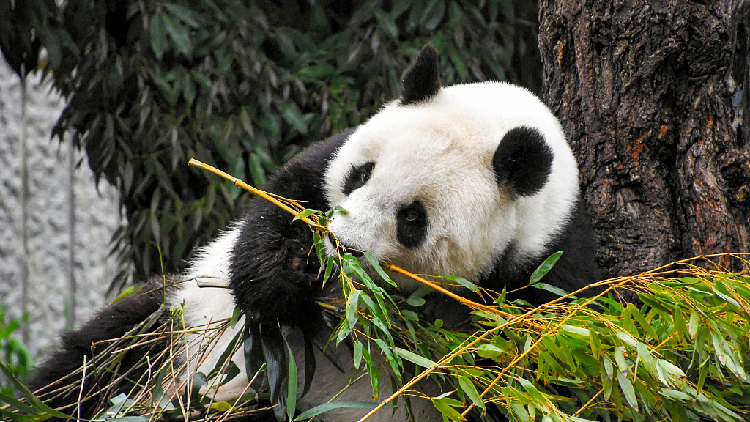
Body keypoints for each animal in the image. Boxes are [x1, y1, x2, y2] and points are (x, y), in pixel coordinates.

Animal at [26, 44, 599, 422]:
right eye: (361, 174)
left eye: (413, 218)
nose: (341, 249)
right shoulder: (324, 166)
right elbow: (283, 203)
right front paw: (284, 281)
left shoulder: (542, 286)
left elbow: (513, 380)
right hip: (169, 325)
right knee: (85, 365)